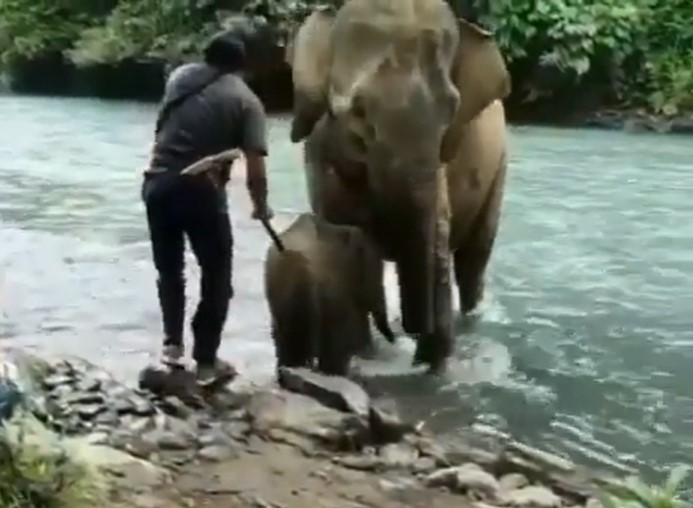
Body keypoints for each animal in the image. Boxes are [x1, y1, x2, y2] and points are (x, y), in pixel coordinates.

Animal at [284, 0, 510, 374]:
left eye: (452, 109)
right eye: (358, 112)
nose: (413, 330)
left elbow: (436, 238)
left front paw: (433, 366)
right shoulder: (320, 156)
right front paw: (366, 355)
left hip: (500, 167)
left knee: (473, 260)